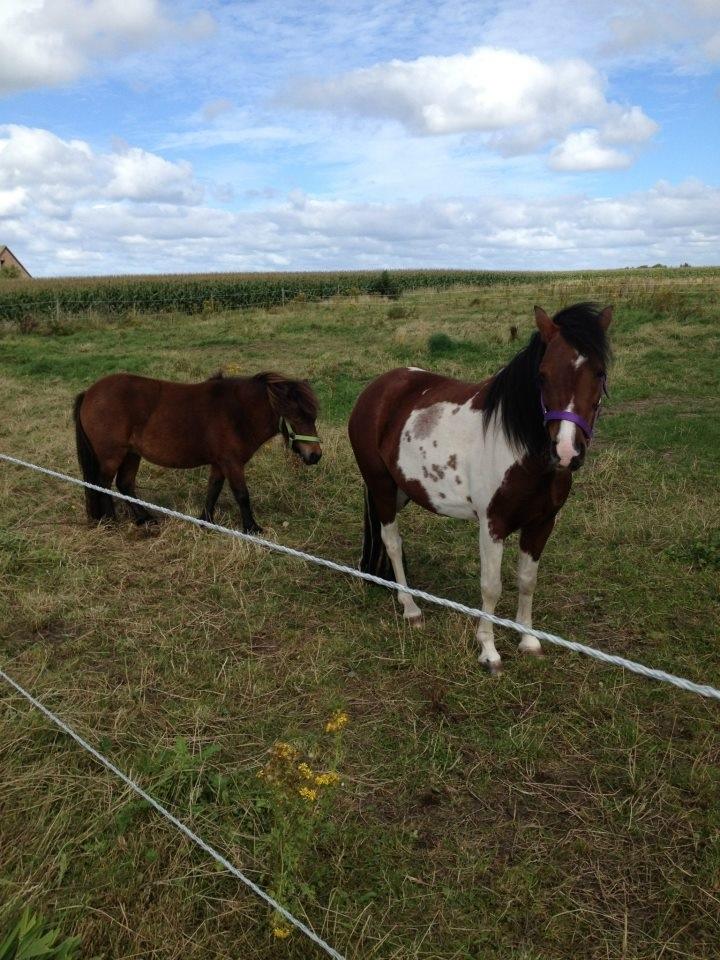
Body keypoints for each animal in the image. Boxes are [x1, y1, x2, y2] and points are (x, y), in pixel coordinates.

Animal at [73, 370, 320, 532]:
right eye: (297, 416)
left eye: (313, 416)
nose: (315, 455)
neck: (237, 412)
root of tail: (89, 393)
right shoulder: (232, 462)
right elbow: (242, 495)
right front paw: (252, 529)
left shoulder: (220, 463)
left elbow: (213, 490)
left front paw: (206, 521)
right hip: (112, 455)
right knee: (102, 484)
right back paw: (110, 522)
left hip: (132, 454)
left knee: (125, 484)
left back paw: (145, 519)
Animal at [348, 304, 612, 672]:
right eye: (542, 375)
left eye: (599, 373)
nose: (566, 451)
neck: (519, 449)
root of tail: (376, 389)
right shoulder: (492, 526)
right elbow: (491, 587)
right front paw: (489, 651)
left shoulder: (542, 524)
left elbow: (527, 580)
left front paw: (529, 641)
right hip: (382, 486)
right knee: (392, 542)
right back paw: (411, 609)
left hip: (400, 491)